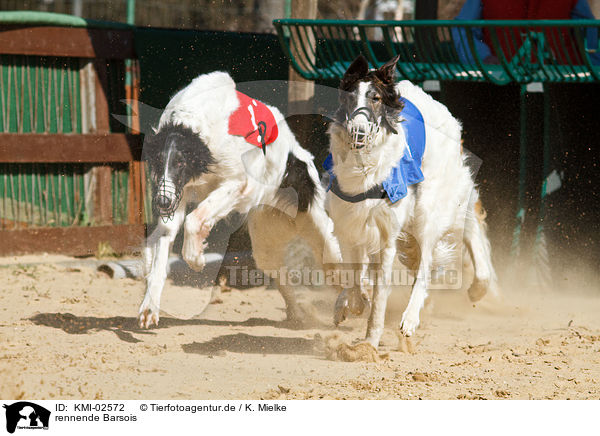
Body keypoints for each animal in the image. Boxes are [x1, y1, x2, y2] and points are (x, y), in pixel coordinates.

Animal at [138, 71, 340, 328]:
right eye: (157, 162)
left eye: (180, 162)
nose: (161, 203)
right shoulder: (179, 193)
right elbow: (165, 242)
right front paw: (149, 307)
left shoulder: (238, 183)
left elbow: (194, 220)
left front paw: (197, 258)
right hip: (265, 245)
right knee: (283, 278)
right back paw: (298, 316)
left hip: (320, 232)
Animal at [324, 55, 496, 348]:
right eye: (350, 97)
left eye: (376, 98)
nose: (358, 132)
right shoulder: (349, 222)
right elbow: (353, 275)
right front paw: (352, 302)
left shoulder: (387, 235)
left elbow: (380, 296)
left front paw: (370, 341)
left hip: (430, 207)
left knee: (430, 260)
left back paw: (413, 317)